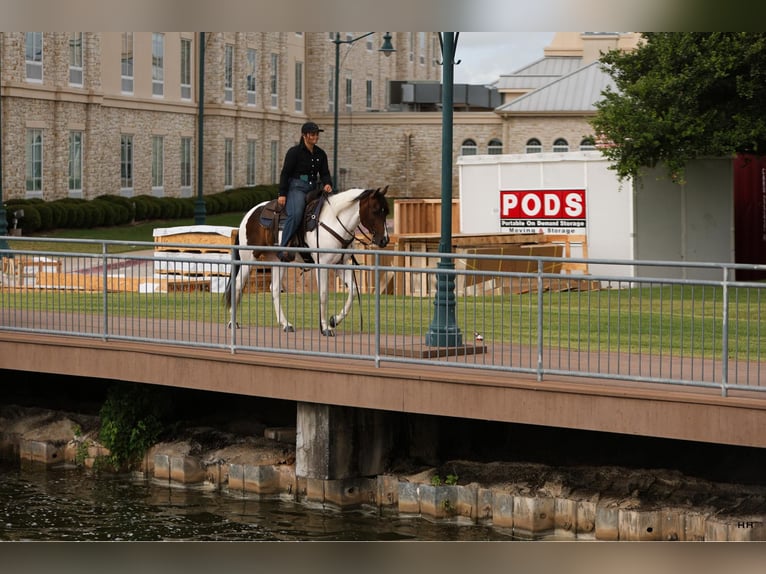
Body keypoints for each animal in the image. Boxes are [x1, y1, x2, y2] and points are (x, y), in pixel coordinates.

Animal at [223, 186, 390, 336]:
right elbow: (323, 294)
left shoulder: (339, 265)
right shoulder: (322, 265)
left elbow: (354, 290)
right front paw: (325, 328)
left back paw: (286, 324)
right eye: (375, 210)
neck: (334, 221)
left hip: (278, 260)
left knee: (275, 289)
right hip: (248, 259)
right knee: (237, 285)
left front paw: (334, 320)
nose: (384, 240)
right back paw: (233, 322)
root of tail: (249, 214)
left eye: (386, 212)